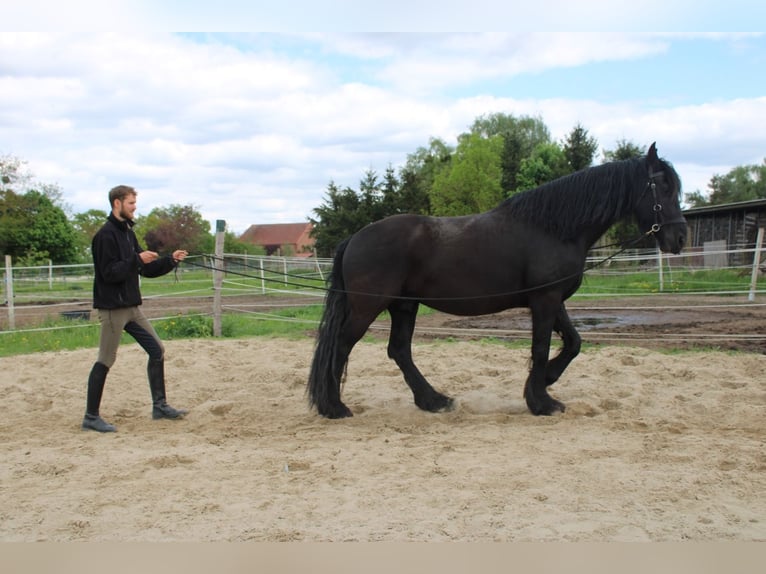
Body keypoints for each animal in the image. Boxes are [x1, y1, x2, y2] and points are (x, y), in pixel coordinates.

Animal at [308, 143, 687, 418]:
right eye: (663, 186)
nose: (679, 238)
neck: (554, 228)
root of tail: (355, 238)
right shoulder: (545, 300)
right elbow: (541, 347)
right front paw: (542, 401)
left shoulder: (553, 299)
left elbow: (574, 342)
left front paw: (547, 381)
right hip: (368, 307)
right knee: (342, 346)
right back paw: (334, 407)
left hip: (405, 306)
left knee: (399, 351)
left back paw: (434, 401)